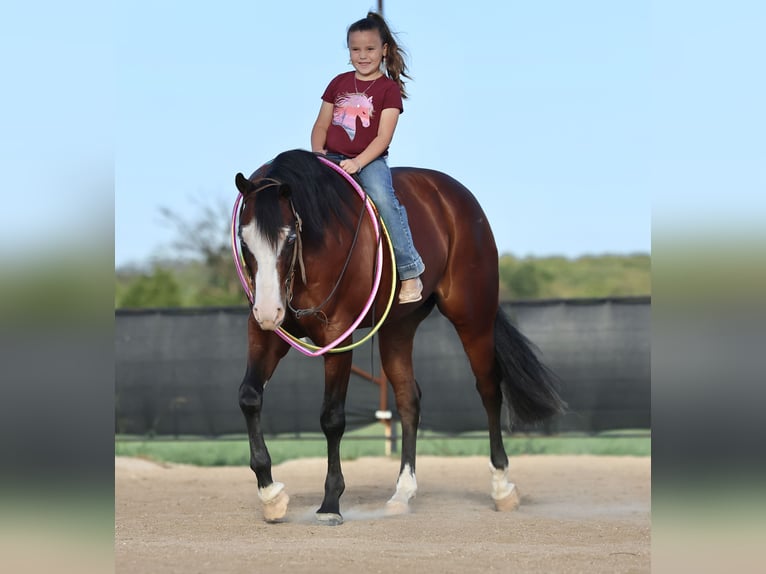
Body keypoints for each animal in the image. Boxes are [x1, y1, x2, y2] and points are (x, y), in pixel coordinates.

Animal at [233, 149, 565, 525]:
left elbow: (332, 417)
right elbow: (249, 397)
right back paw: (402, 493)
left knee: (489, 391)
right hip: (398, 328)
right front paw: (270, 494)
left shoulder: (338, 336)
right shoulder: (266, 334)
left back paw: (502, 488)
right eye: (245, 241)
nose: (267, 310)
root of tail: (457, 198)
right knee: (409, 399)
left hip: (473, 318)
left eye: (290, 238)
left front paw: (330, 502)